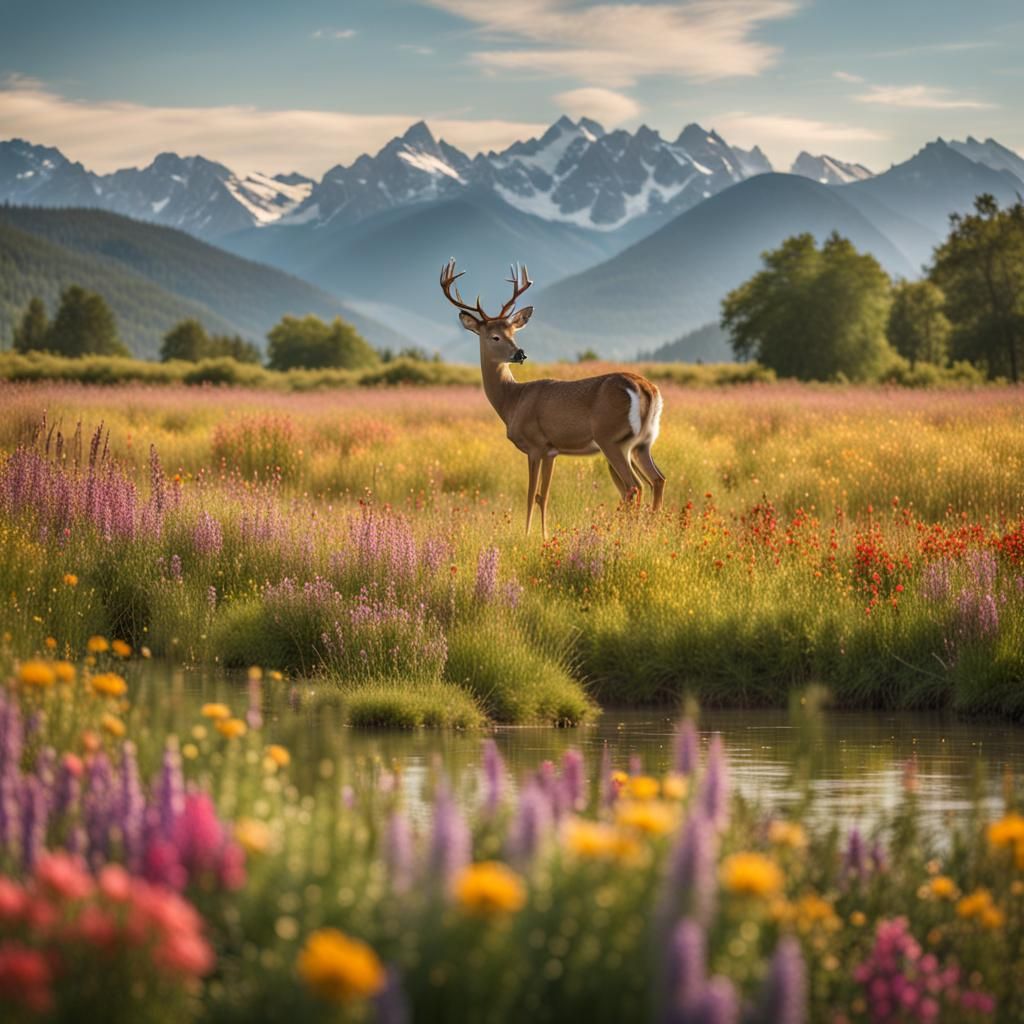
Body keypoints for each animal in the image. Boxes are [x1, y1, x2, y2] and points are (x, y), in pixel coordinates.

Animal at [440, 258, 665, 538]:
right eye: (495, 336)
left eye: (513, 333)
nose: (520, 354)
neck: (512, 401)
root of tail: (646, 388)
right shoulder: (552, 449)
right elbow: (544, 496)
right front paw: (543, 535)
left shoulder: (535, 444)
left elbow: (530, 495)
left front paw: (527, 536)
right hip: (643, 442)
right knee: (657, 479)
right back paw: (649, 531)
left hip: (612, 439)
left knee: (635, 486)